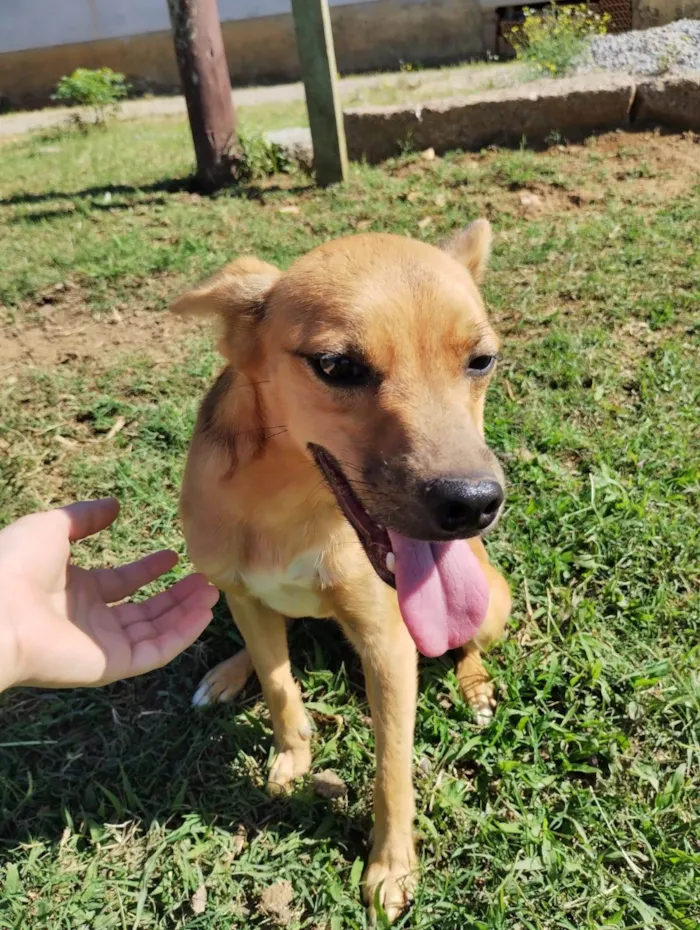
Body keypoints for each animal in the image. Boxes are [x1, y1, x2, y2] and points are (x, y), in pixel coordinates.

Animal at [172, 219, 512, 920]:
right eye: (336, 367)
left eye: (481, 360)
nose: (472, 504)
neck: (290, 504)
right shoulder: (246, 595)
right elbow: (279, 684)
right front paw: (291, 756)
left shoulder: (390, 643)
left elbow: (392, 768)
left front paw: (390, 868)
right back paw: (226, 672)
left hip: (493, 603)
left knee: (470, 642)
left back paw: (475, 686)